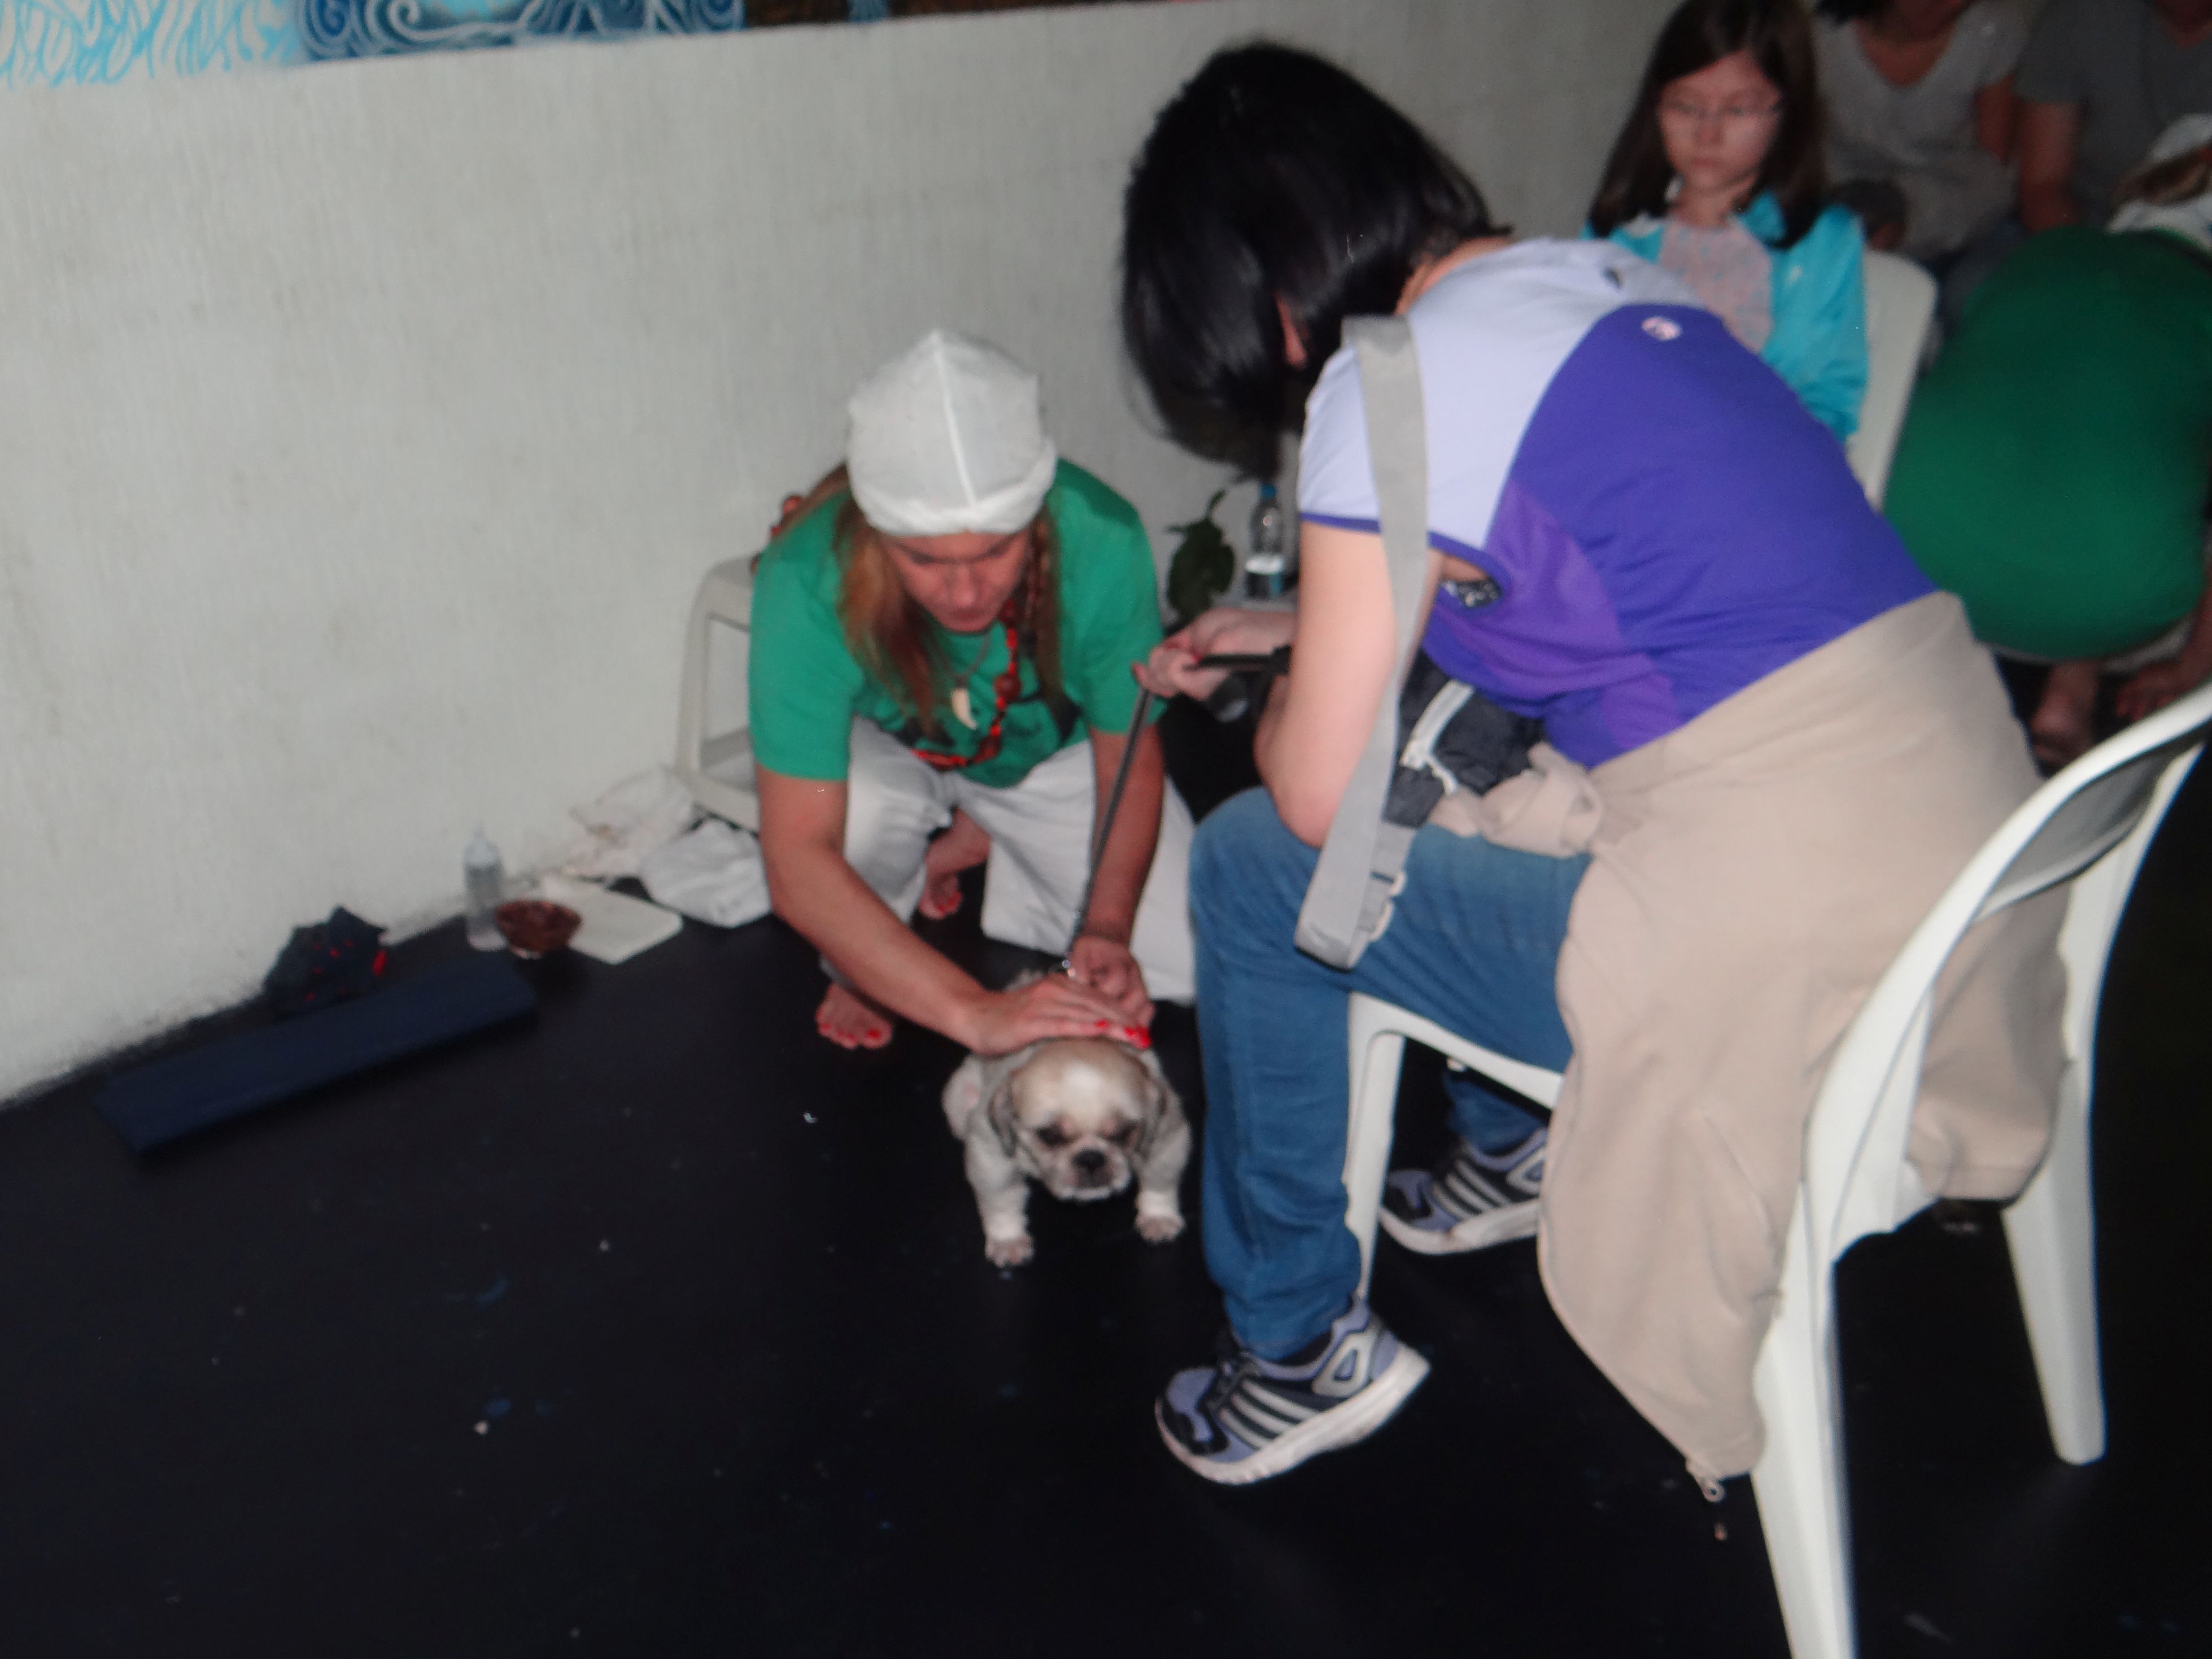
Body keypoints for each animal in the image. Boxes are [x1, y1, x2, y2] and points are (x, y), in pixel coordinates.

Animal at [941, 1016, 1190, 1267]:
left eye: (1124, 1132)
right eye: (1049, 1136)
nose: (1091, 1159)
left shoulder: (1167, 1141)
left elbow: (1160, 1183)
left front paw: (1159, 1217)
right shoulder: (991, 1158)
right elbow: (1001, 1201)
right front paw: (1007, 1240)